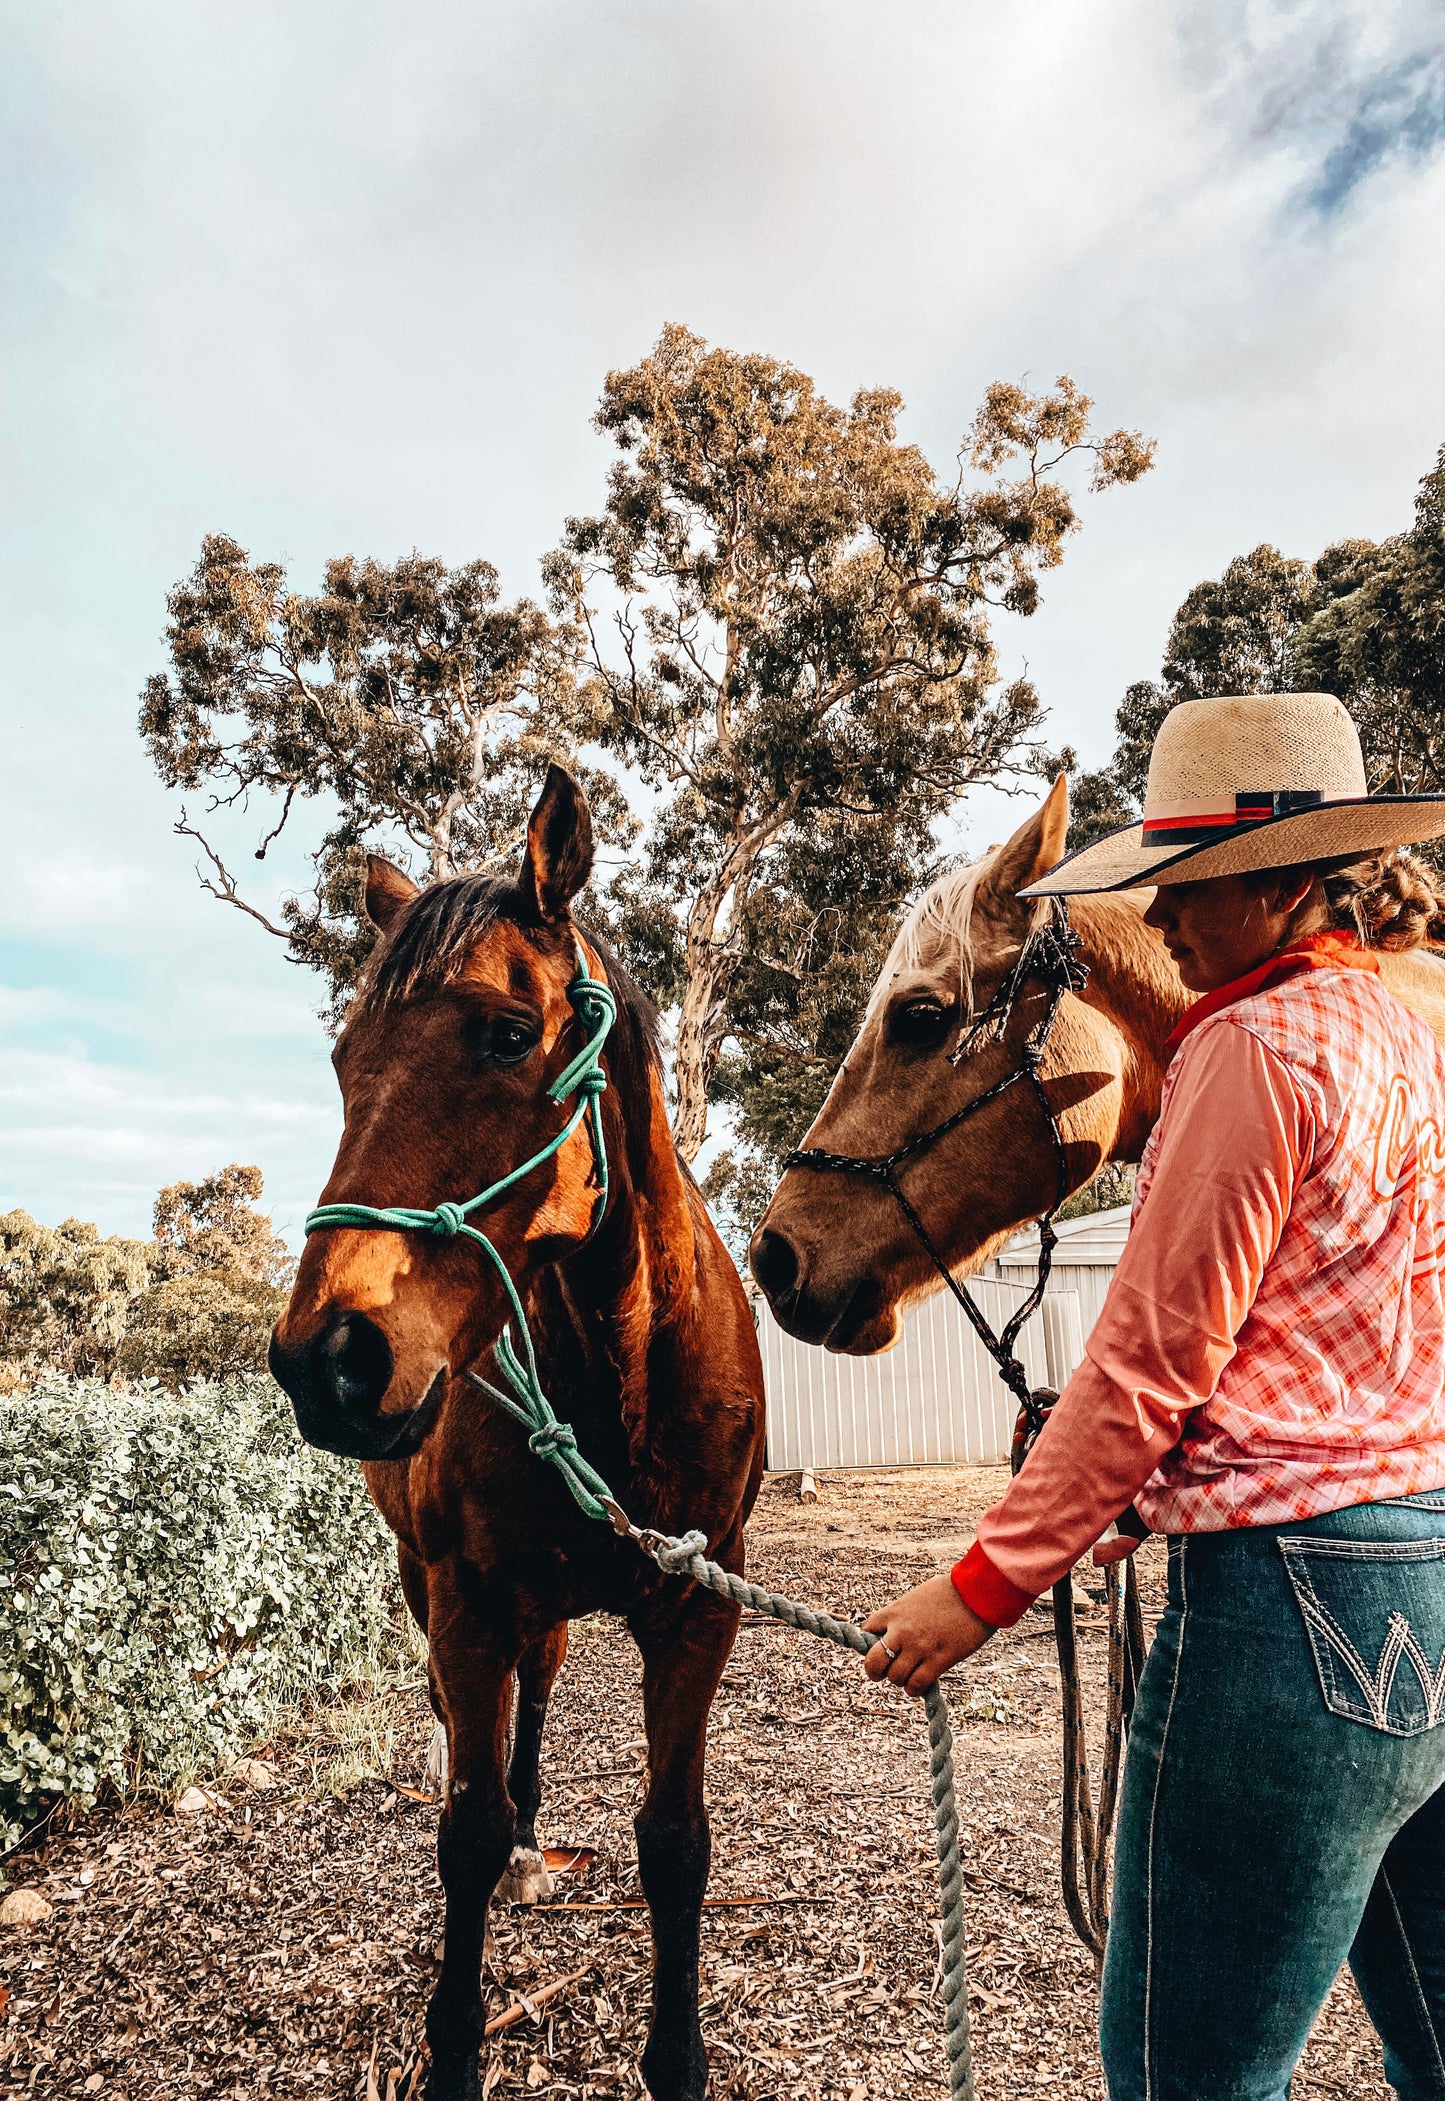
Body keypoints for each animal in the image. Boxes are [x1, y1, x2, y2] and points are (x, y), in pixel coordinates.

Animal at [270, 768, 768, 2101]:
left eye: (504, 1032)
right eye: (341, 1058)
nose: (326, 1358)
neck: (617, 1377)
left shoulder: (698, 1603)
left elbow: (673, 1839)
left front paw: (677, 2055)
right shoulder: (466, 1600)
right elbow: (465, 1825)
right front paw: (451, 2048)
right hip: (439, 1587)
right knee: (481, 1740)